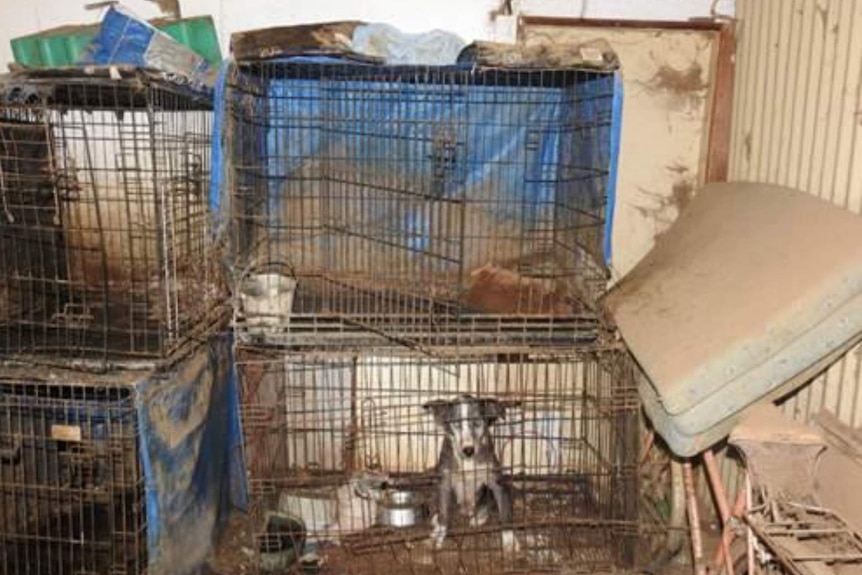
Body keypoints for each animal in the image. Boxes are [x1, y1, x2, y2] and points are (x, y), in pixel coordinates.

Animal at [422, 396, 516, 552]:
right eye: (456, 423)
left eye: (477, 422)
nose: (468, 450)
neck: (468, 461)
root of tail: (466, 510)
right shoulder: (444, 483)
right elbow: (443, 512)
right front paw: (440, 534)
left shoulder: (497, 482)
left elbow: (505, 511)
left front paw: (509, 539)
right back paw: (436, 520)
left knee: (487, 504)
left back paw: (479, 517)